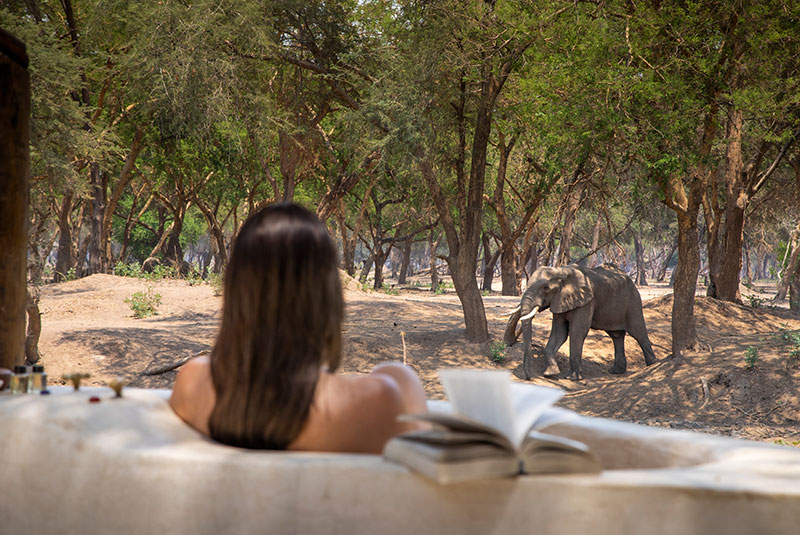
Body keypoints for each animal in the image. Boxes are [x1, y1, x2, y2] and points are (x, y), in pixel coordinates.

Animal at [506, 264, 656, 382]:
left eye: (546, 288)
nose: (528, 377)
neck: (561, 271)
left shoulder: (586, 301)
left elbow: (577, 332)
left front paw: (572, 378)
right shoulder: (560, 300)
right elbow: (559, 333)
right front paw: (550, 373)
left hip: (632, 301)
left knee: (638, 332)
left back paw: (653, 365)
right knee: (616, 336)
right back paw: (615, 371)